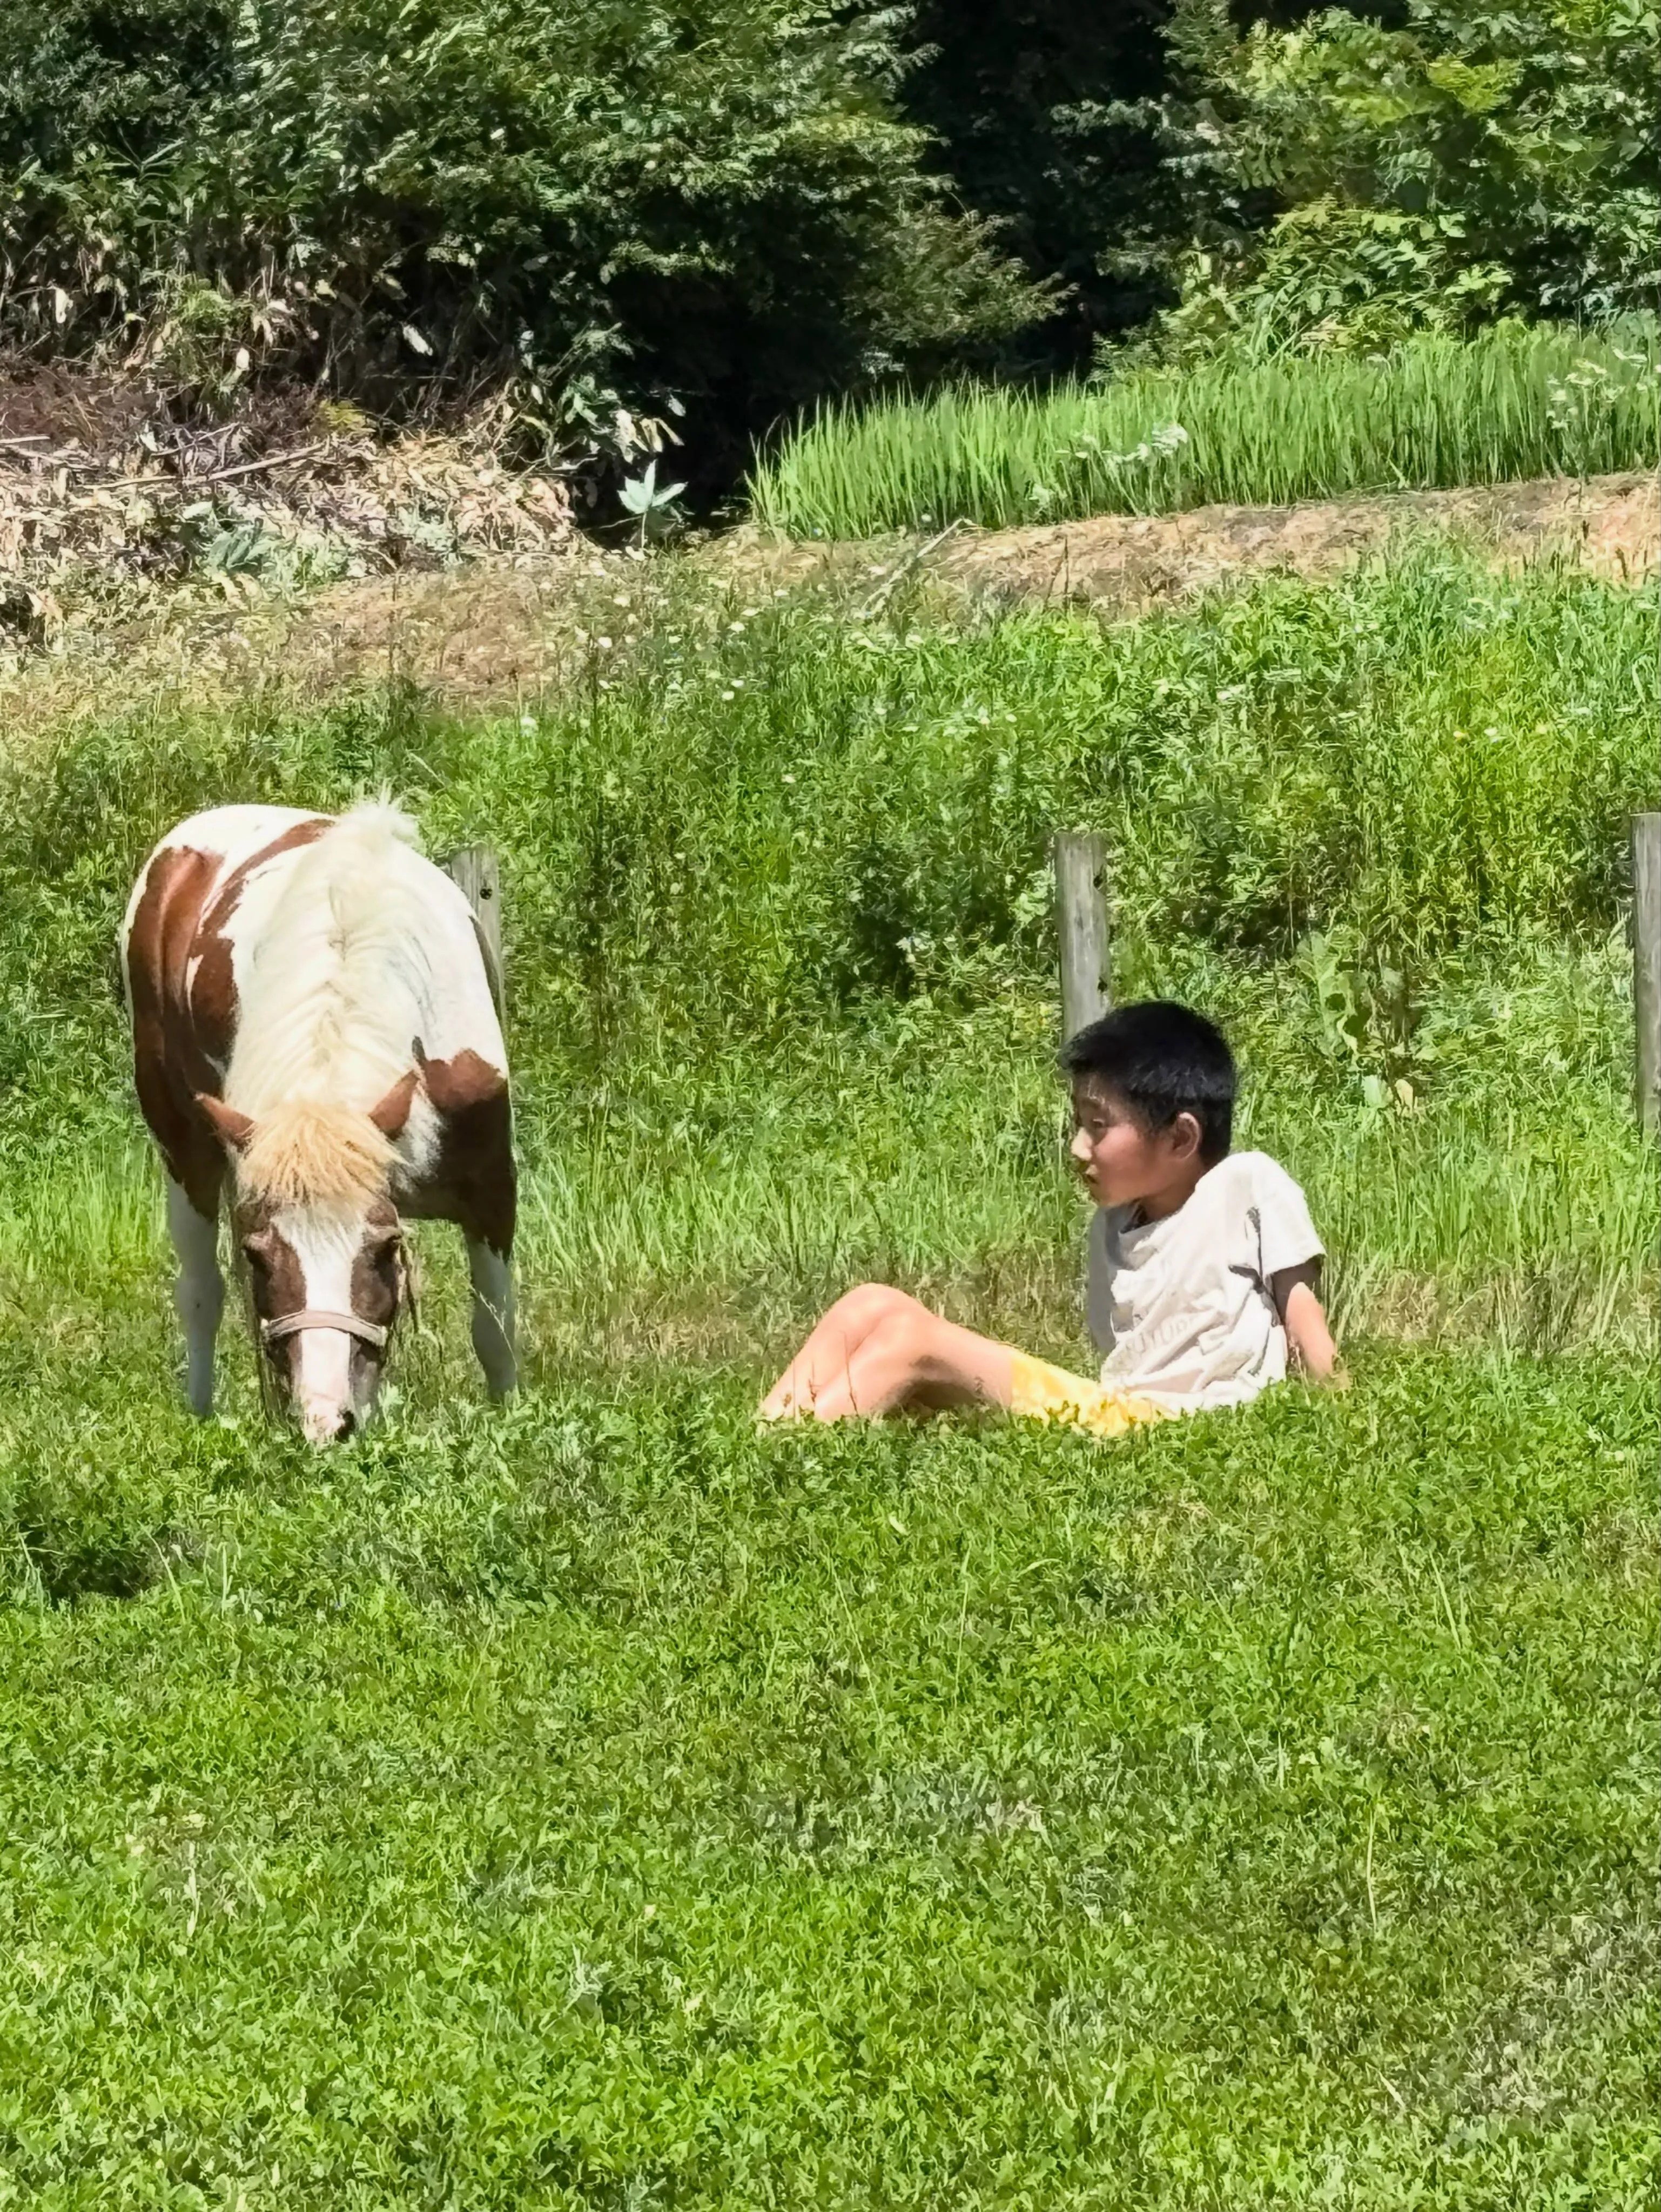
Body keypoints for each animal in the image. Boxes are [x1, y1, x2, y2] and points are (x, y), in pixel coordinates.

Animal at [122, 802, 516, 1441]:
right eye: (261, 1257)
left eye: (383, 1250)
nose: (325, 1423)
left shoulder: (493, 1188)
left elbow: (496, 1332)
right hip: (182, 1147)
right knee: (202, 1292)